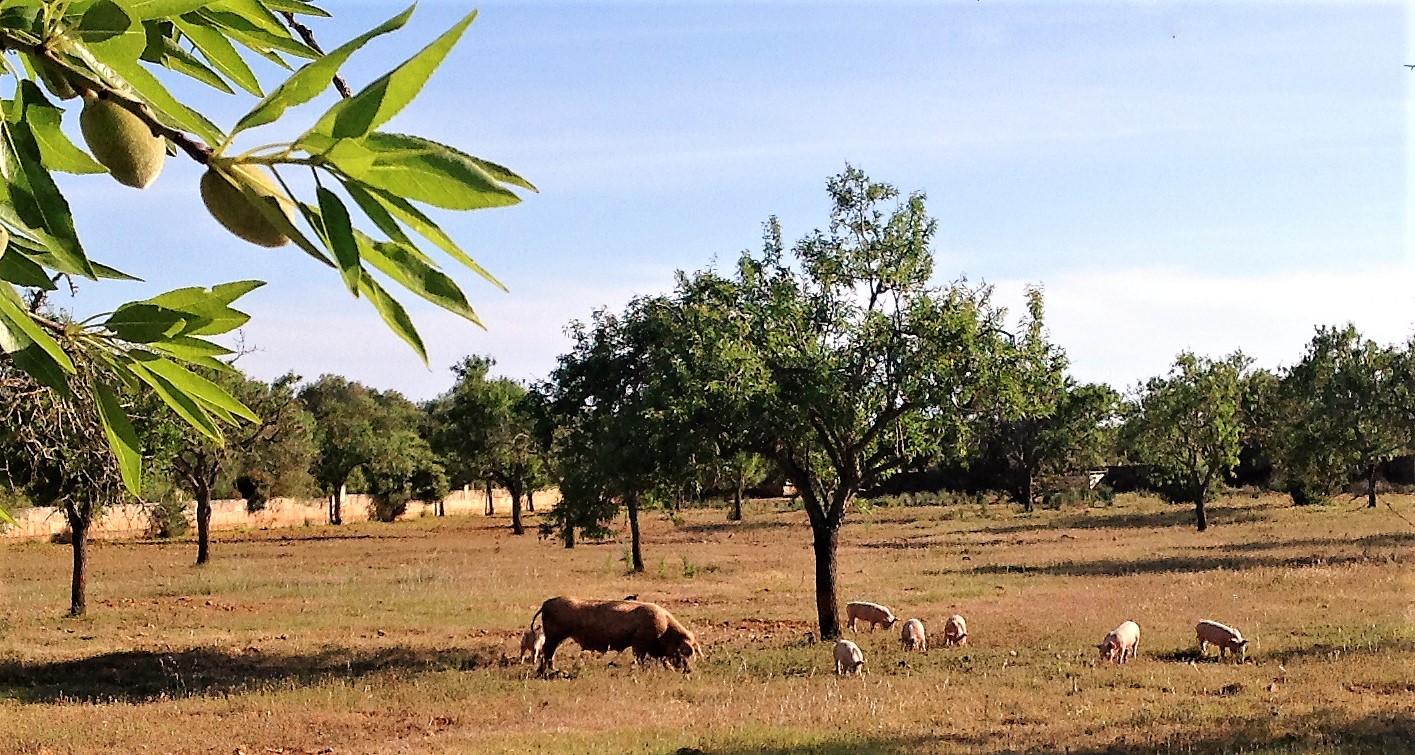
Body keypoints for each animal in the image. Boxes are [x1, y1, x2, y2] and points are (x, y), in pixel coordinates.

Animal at [532, 602, 701, 678]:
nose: (690, 670)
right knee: (546, 653)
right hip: (553, 636)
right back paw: (549, 672)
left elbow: (661, 659)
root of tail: (546, 604)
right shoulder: (639, 642)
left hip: (555, 638)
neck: (665, 629)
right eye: (688, 652)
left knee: (548, 654)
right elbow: (641, 658)